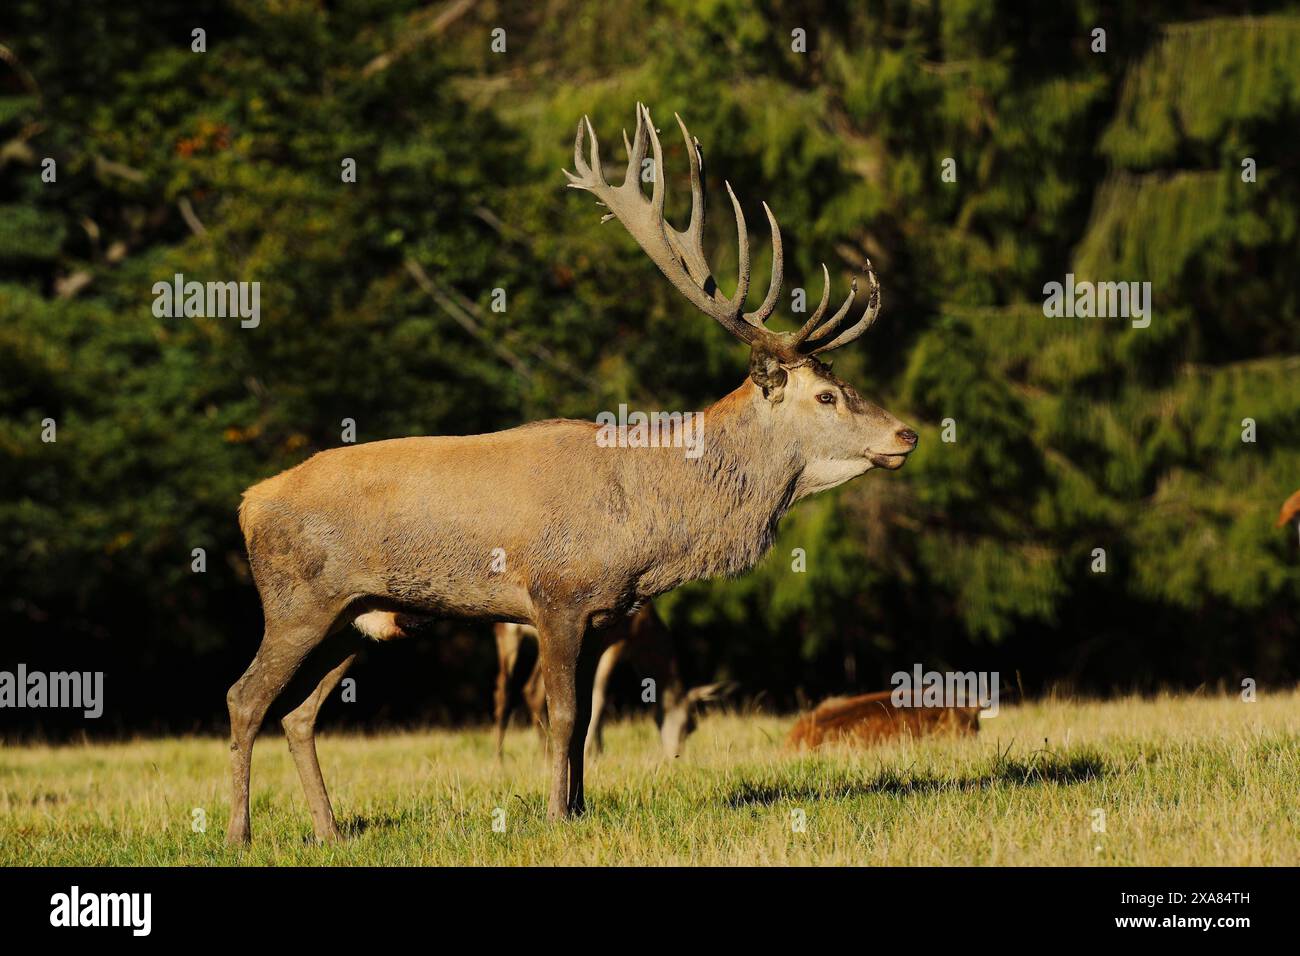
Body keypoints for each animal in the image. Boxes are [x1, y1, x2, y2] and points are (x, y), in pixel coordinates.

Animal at [493, 603, 731, 761]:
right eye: (691, 726)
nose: (676, 756)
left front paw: (596, 749)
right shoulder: (614, 640)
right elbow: (600, 694)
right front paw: (592, 751)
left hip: (506, 635)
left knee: (508, 690)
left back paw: (506, 758)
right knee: (532, 689)